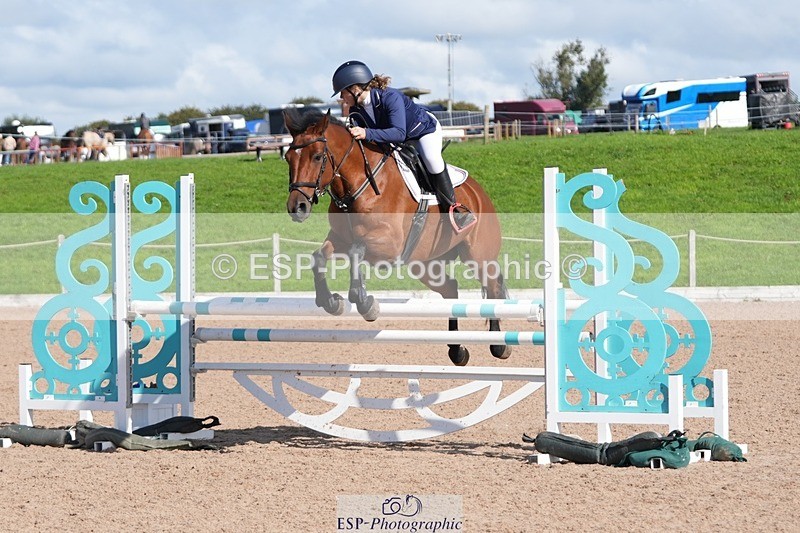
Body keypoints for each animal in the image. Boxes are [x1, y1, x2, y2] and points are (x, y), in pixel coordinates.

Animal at [284, 109, 510, 366]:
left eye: (318, 157)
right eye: (288, 158)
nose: (297, 207)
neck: (359, 185)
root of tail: (478, 191)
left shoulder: (389, 245)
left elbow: (356, 251)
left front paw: (365, 303)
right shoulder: (340, 239)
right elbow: (319, 257)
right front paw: (331, 302)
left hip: (478, 256)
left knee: (492, 286)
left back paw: (499, 346)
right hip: (424, 265)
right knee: (451, 289)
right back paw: (457, 350)